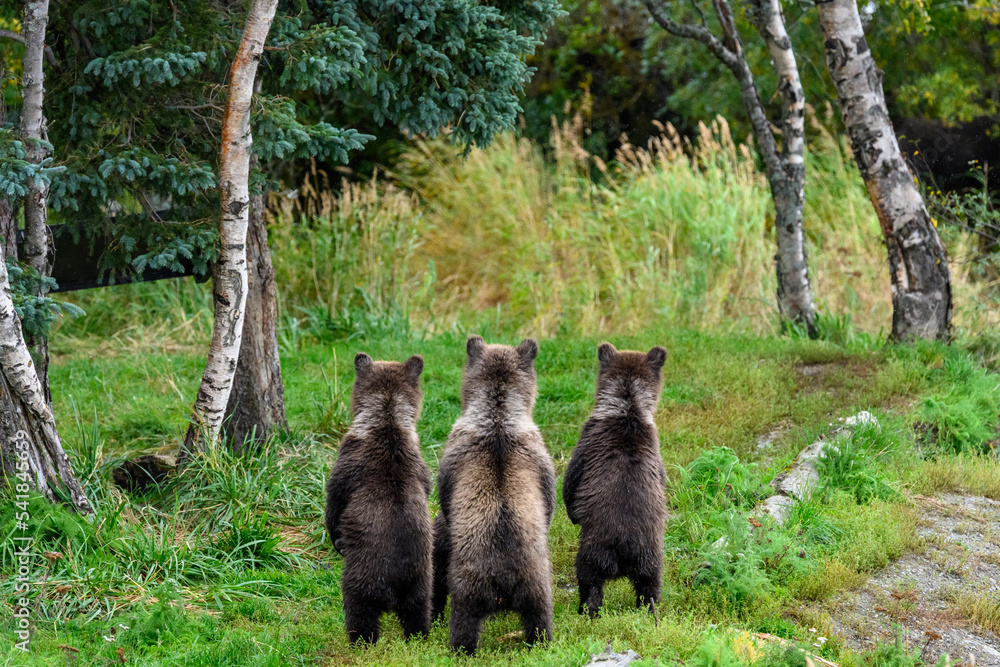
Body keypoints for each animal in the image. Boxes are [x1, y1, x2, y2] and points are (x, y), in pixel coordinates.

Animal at [324, 352, 432, 645]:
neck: (387, 418)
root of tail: (395, 585)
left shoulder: (347, 467)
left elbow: (334, 503)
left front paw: (336, 538)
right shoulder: (421, 469)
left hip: (364, 575)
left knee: (360, 609)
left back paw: (360, 640)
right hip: (421, 579)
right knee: (418, 610)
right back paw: (418, 636)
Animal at [562, 342, 668, 618]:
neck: (628, 406)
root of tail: (625, 549)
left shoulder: (587, 442)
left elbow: (571, 480)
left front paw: (571, 512)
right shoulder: (657, 452)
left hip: (595, 545)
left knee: (589, 579)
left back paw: (586, 610)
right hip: (651, 552)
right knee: (650, 584)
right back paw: (649, 609)